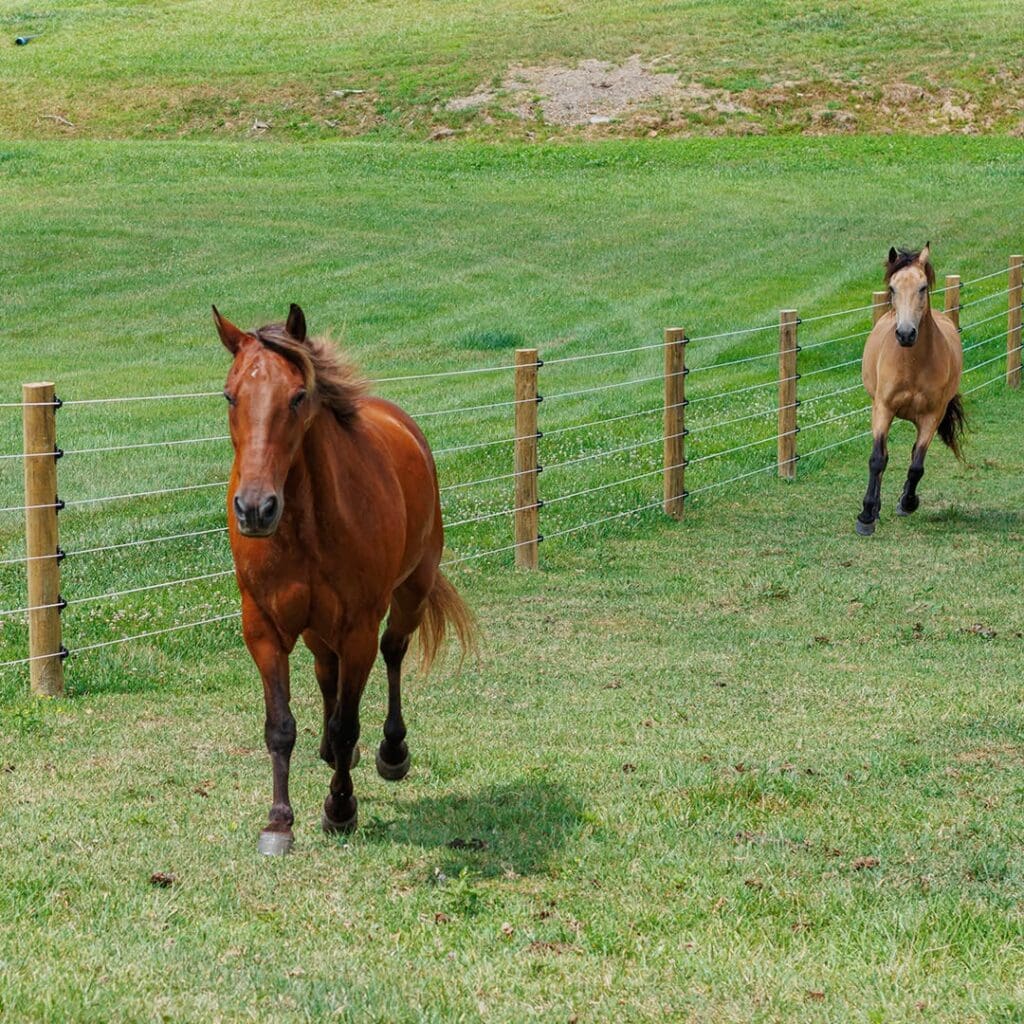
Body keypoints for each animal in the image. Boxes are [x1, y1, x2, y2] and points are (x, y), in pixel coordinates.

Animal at [213, 304, 477, 855]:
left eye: (297, 396)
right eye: (230, 396)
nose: (256, 508)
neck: (307, 526)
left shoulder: (358, 630)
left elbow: (349, 723)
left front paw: (339, 808)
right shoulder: (263, 629)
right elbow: (280, 727)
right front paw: (278, 822)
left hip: (410, 593)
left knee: (394, 651)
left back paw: (392, 751)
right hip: (318, 630)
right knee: (325, 675)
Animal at [855, 244, 966, 536]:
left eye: (922, 287)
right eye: (893, 288)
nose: (906, 334)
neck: (912, 365)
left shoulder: (931, 417)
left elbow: (917, 465)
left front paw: (907, 502)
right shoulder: (883, 408)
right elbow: (877, 459)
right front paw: (866, 516)